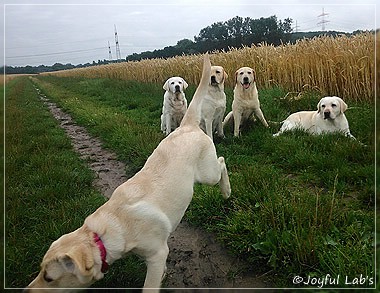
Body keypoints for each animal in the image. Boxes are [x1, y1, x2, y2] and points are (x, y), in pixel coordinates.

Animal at [26, 53, 232, 292]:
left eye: (48, 277)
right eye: (40, 270)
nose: (25, 290)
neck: (108, 228)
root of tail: (186, 126)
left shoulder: (158, 253)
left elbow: (150, 285)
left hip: (208, 173)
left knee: (222, 162)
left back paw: (226, 191)